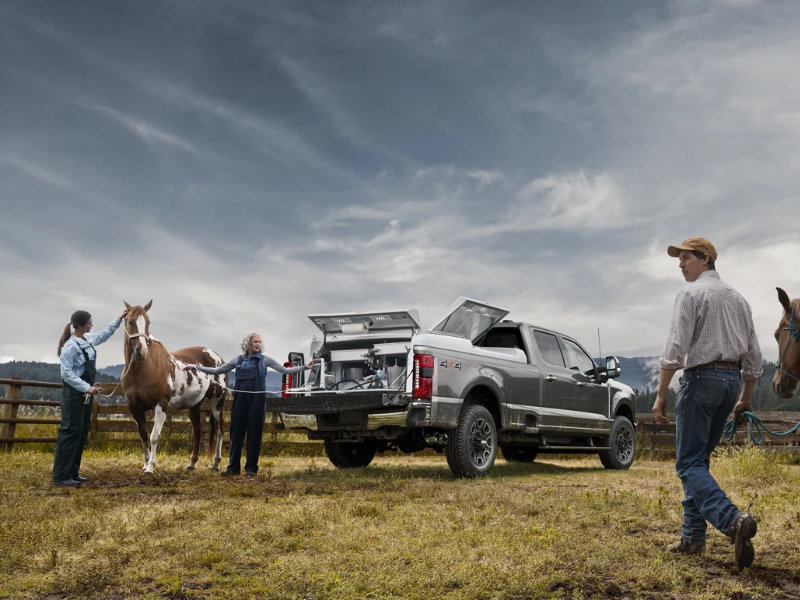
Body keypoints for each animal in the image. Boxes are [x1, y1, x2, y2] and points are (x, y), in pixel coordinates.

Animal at [122, 302, 228, 476]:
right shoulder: (135, 407)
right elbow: (143, 436)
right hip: (195, 406)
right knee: (197, 431)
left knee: (220, 430)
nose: (141, 351)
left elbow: (154, 436)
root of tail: (219, 358)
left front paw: (150, 468)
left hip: (217, 402)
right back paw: (191, 464)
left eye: (148, 322)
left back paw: (216, 464)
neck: (143, 369)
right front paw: (145, 465)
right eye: (130, 321)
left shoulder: (160, 405)